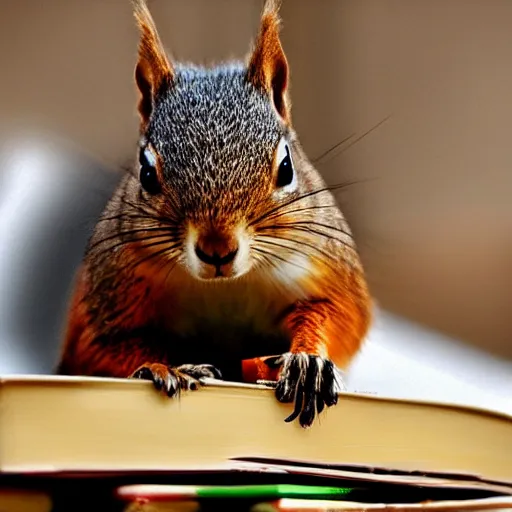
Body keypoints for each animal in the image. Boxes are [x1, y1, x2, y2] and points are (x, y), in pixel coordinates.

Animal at [57, 0, 372, 428]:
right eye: (146, 172)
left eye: (286, 167)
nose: (217, 249)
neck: (226, 288)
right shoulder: (109, 293)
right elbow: (104, 345)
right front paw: (166, 367)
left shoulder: (325, 268)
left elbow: (338, 316)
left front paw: (308, 361)